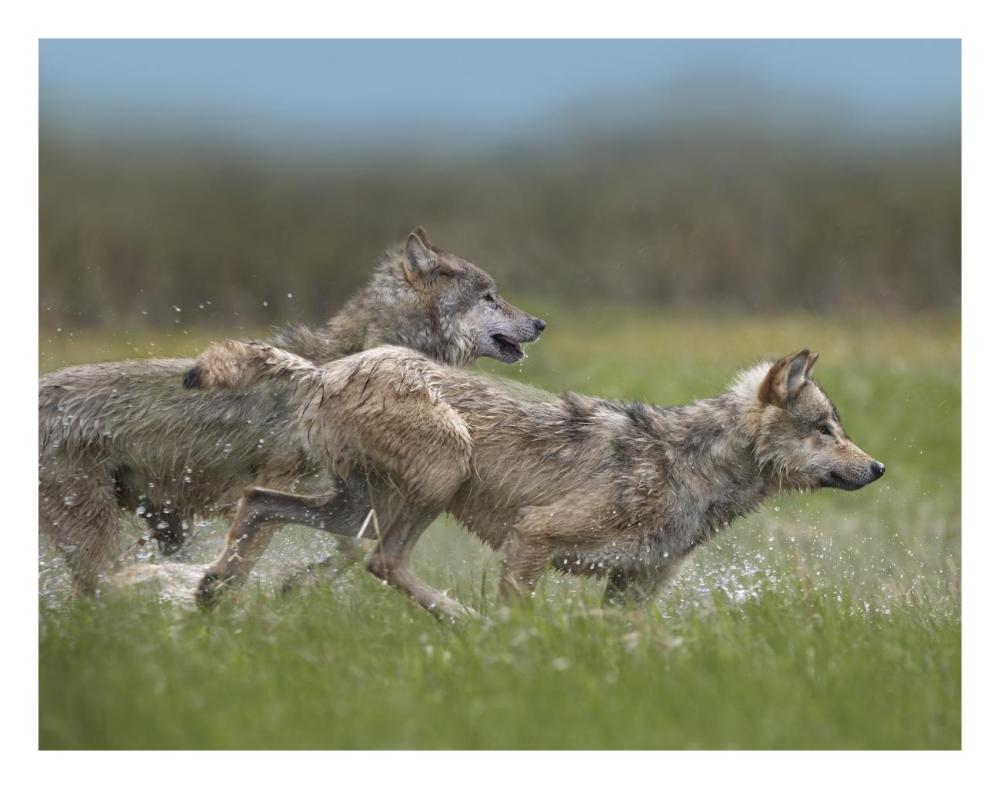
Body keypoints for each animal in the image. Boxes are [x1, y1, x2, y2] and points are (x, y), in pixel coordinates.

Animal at [39, 229, 545, 593]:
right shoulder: (288, 486)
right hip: (98, 531)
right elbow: (258, 552)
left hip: (158, 521)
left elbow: (344, 550)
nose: (540, 323)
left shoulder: (346, 497)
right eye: (489, 297)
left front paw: (292, 586)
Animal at [188, 342, 885, 618]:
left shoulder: (632, 589)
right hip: (441, 474)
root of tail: (326, 369)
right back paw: (464, 621)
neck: (694, 467)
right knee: (383, 563)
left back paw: (214, 593)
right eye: (826, 429)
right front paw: (512, 658)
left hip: (356, 511)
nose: (879, 468)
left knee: (258, 503)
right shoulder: (533, 538)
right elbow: (519, 621)